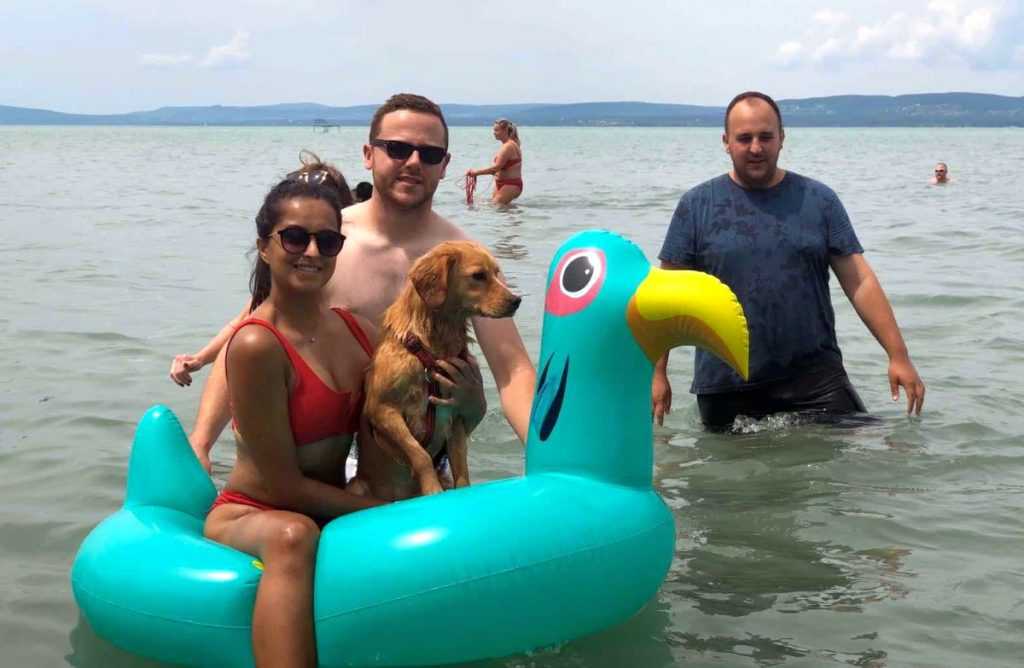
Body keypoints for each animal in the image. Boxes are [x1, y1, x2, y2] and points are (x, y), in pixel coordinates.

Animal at [354, 241, 521, 500]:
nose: (516, 300)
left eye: (496, 272)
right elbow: (419, 453)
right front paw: (432, 487)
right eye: (478, 276)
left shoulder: (455, 417)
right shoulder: (381, 408)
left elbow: (460, 466)